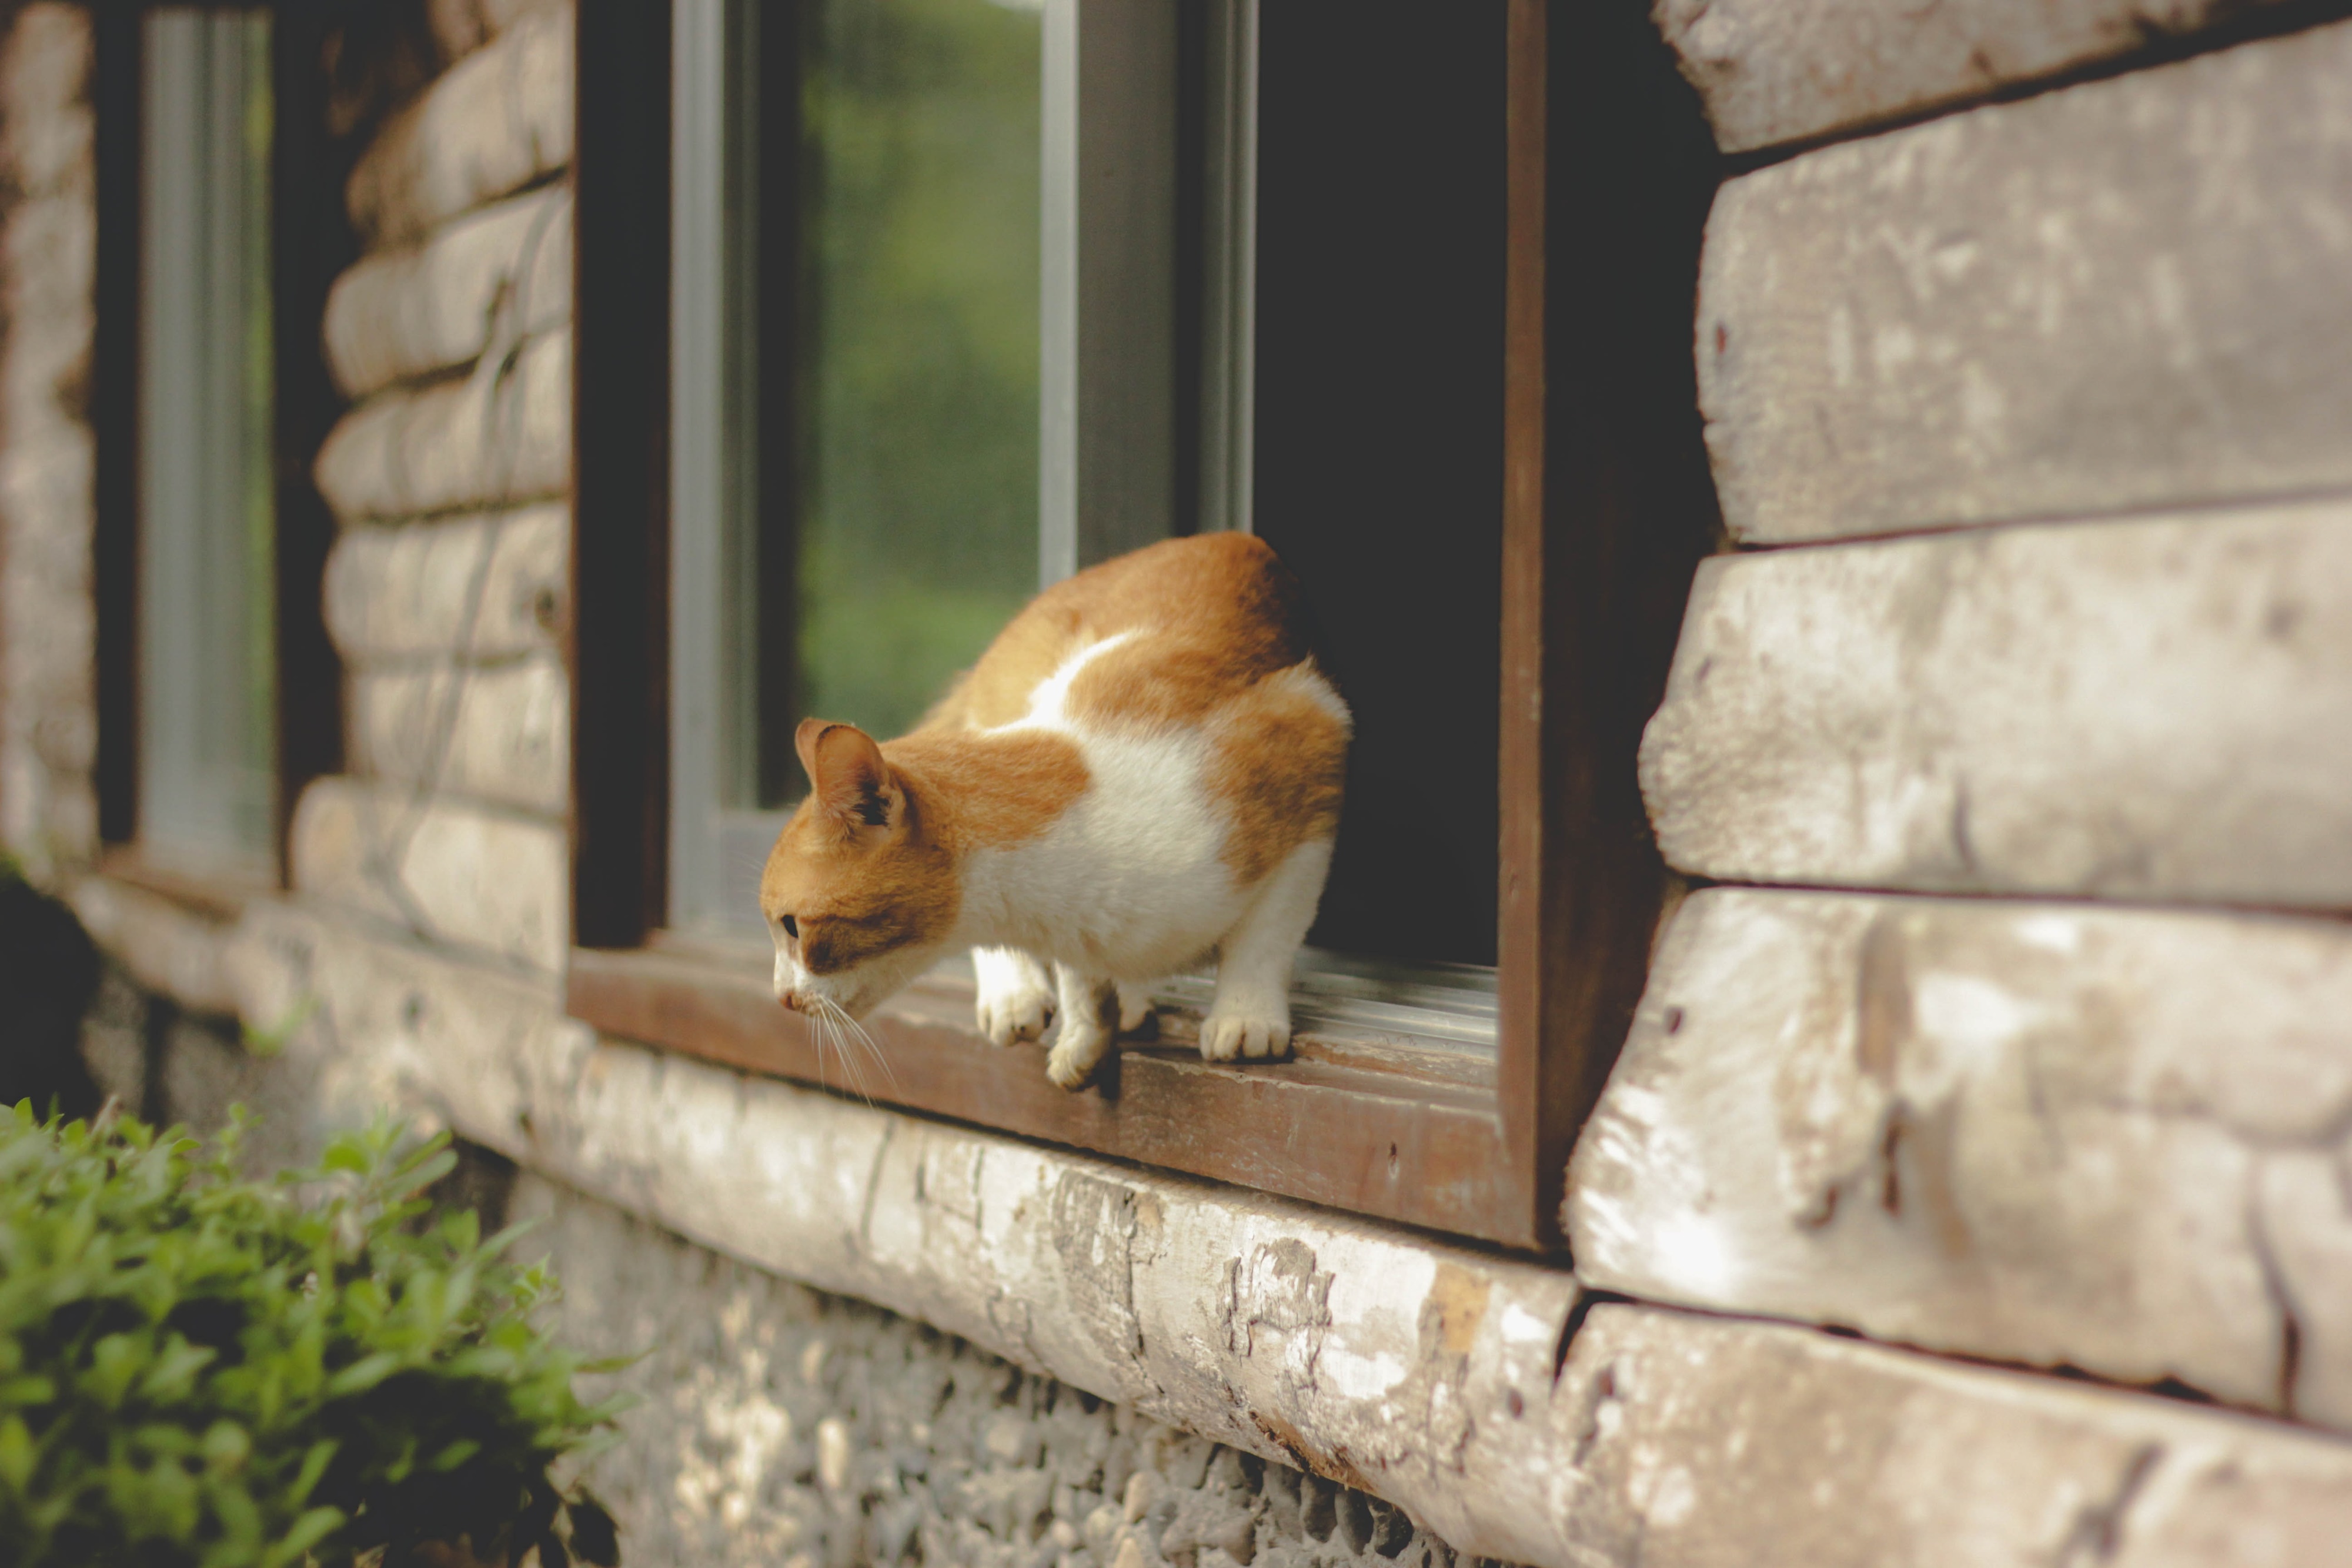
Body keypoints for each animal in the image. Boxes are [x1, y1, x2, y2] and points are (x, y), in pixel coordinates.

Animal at [762, 533, 1355, 1086]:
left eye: (792, 927)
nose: (781, 997)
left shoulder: (1314, 739)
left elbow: (1267, 935)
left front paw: (1244, 1016)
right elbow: (1078, 978)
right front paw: (1086, 1035)